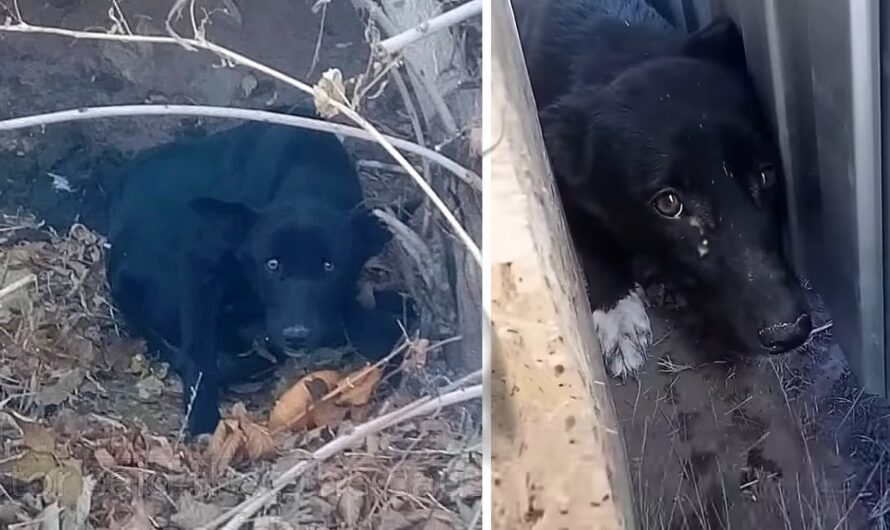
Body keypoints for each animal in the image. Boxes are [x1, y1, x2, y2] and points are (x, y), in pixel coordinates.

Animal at [105, 115, 406, 434]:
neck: (305, 173)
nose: (296, 336)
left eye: (329, 266)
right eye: (271, 265)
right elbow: (199, 351)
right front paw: (201, 417)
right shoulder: (200, 266)